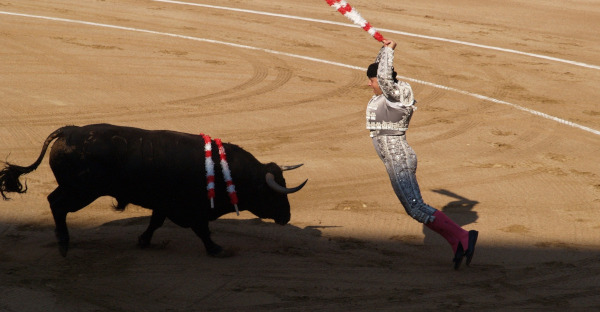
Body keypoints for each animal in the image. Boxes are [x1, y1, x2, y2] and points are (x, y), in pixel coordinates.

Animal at [0, 123, 308, 258]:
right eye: (273, 192)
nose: (287, 217)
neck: (225, 172)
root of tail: (68, 130)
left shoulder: (164, 204)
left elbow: (155, 222)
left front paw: (143, 241)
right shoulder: (191, 209)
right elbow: (202, 230)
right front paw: (216, 249)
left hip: (76, 189)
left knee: (54, 201)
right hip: (81, 192)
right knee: (58, 205)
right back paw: (64, 244)